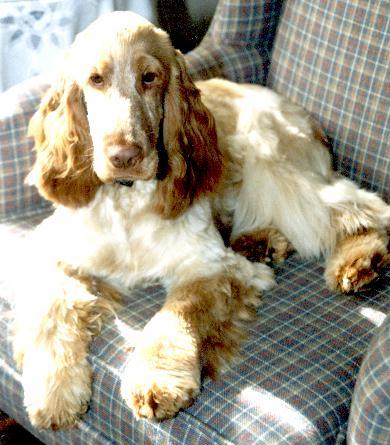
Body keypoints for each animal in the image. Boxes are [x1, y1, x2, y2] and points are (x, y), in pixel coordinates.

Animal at [12, 9, 386, 426]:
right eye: (95, 79)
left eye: (150, 77)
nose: (124, 156)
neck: (127, 200)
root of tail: (302, 112)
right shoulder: (50, 252)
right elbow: (50, 312)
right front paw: (54, 392)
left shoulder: (208, 267)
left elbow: (176, 316)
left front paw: (156, 380)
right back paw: (263, 243)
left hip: (272, 167)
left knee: (359, 206)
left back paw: (361, 261)